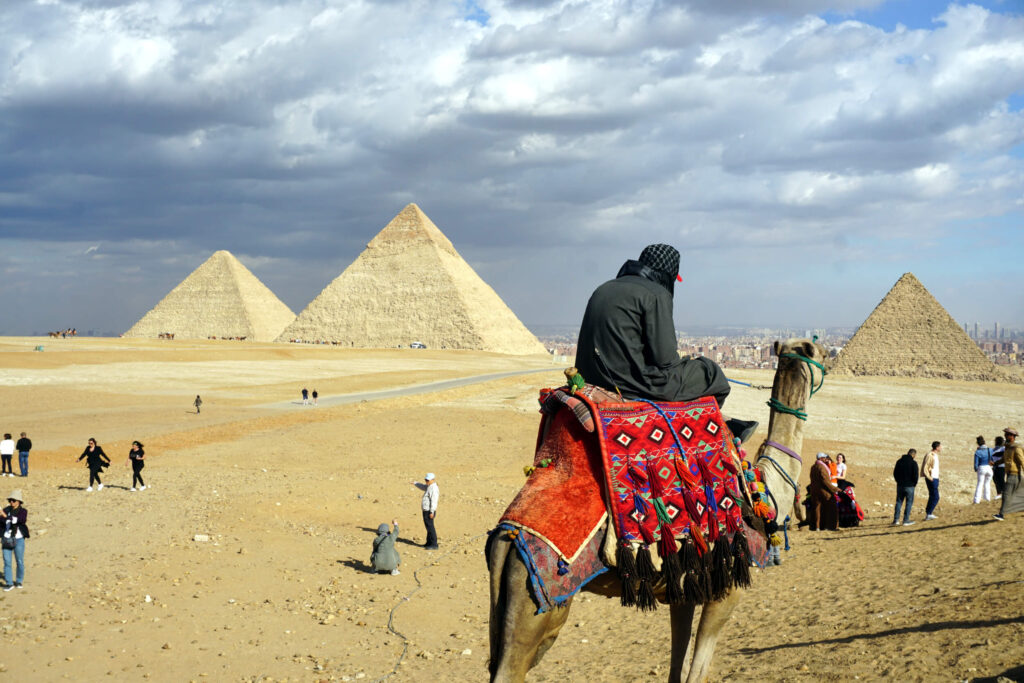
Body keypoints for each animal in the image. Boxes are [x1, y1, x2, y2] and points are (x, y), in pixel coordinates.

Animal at [483, 339, 827, 679]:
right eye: (821, 353)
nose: (828, 358)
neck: (763, 493)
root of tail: (508, 535)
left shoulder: (686, 587)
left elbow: (677, 666)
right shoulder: (727, 587)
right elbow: (697, 672)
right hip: (538, 603)